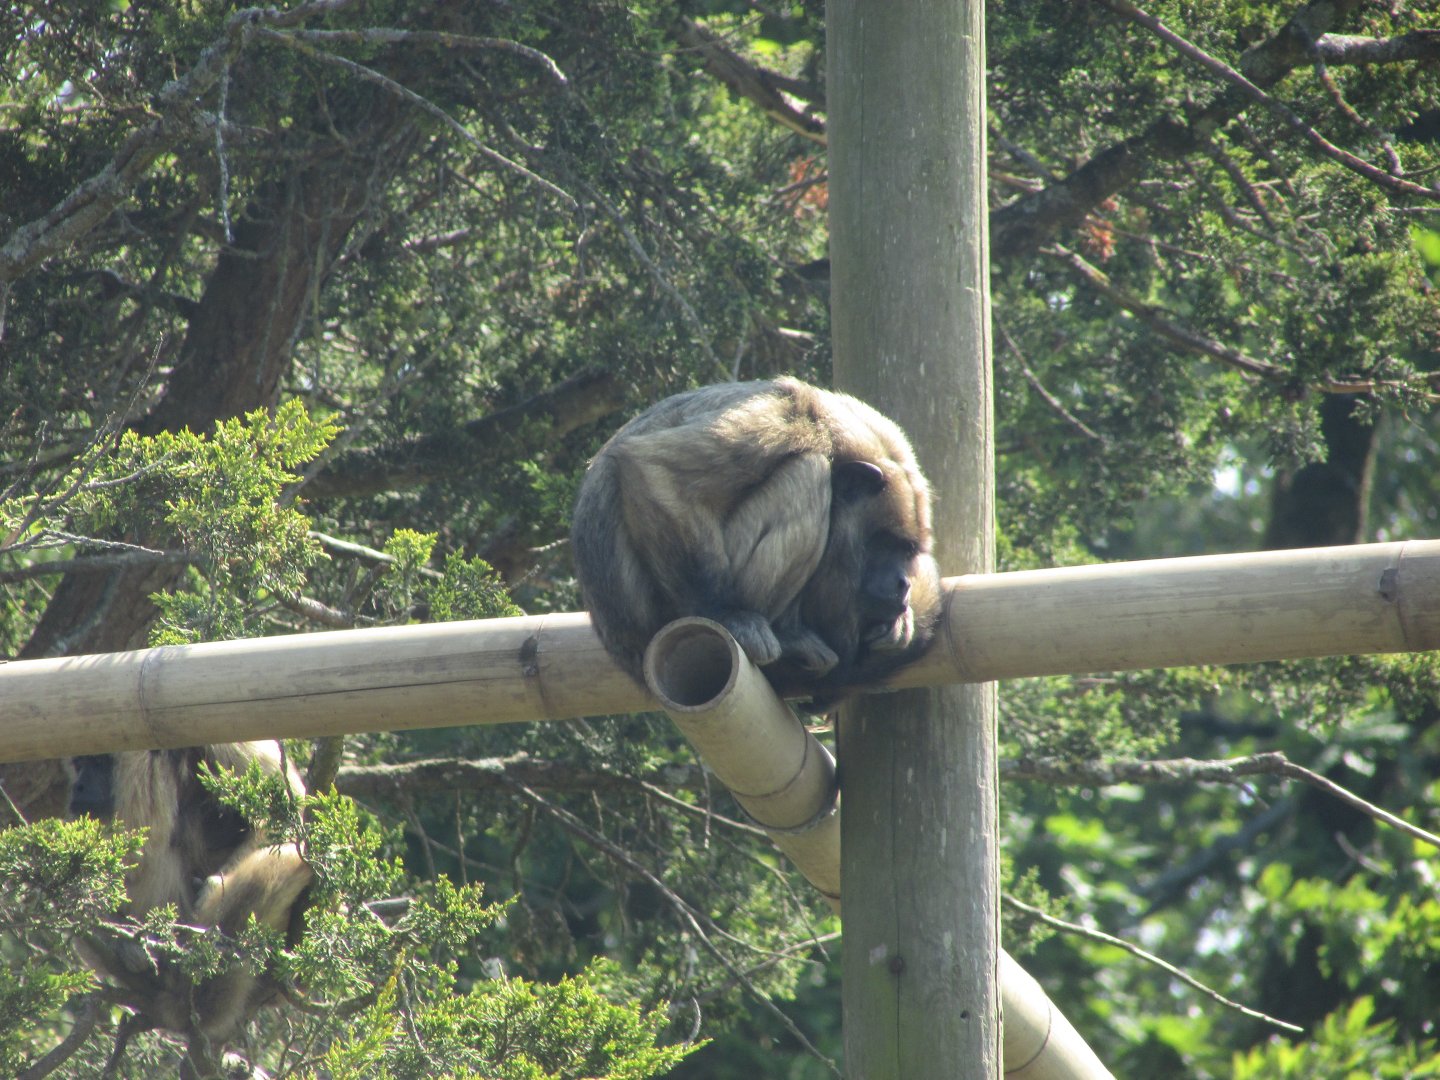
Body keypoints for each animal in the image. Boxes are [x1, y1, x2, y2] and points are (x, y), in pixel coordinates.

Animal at [571, 377, 942, 707]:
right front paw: (724, 614)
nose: (903, 583)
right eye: (884, 543)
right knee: (808, 473)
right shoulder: (784, 422)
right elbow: (654, 467)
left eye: (907, 551)